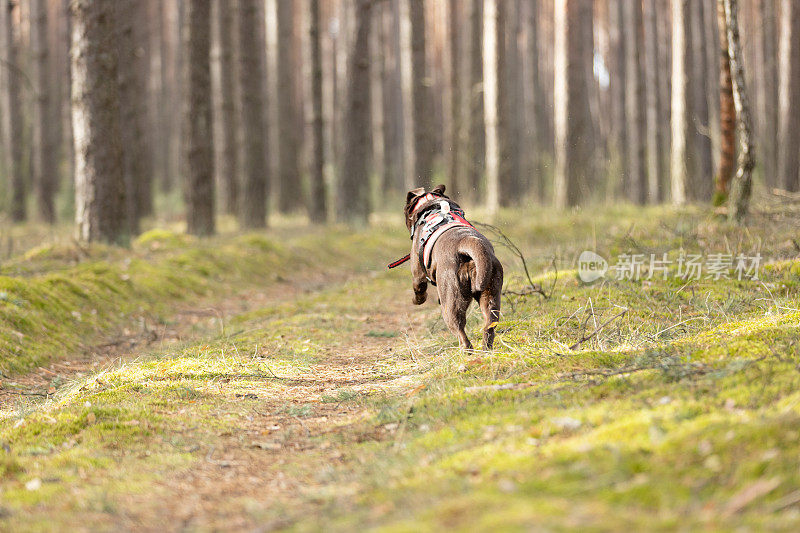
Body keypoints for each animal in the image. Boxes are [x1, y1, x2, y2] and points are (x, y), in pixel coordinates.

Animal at [404, 184, 504, 350]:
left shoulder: (417, 274)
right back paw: (486, 349)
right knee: (489, 325)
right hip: (491, 293)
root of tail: (467, 241)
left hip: (450, 302)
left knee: (461, 333)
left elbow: (418, 289)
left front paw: (416, 300)